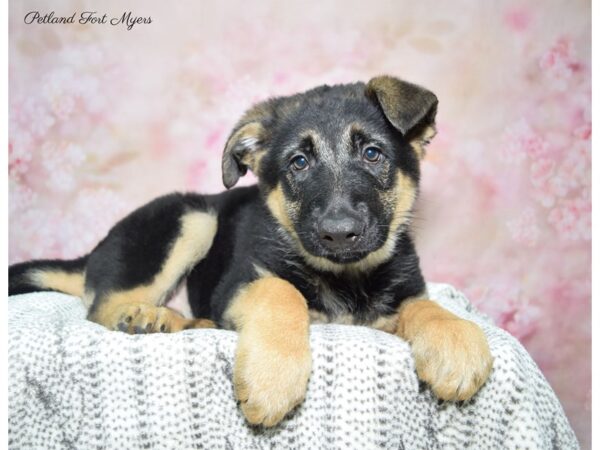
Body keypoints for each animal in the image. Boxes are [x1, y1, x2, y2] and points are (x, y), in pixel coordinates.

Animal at [9, 75, 494, 428]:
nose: (339, 234)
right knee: (101, 307)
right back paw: (148, 316)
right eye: (299, 163)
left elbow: (424, 305)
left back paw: (183, 321)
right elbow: (282, 291)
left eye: (373, 154)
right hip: (194, 216)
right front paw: (272, 379)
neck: (344, 275)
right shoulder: (241, 282)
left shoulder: (395, 300)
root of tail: (94, 252)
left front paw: (456, 341)